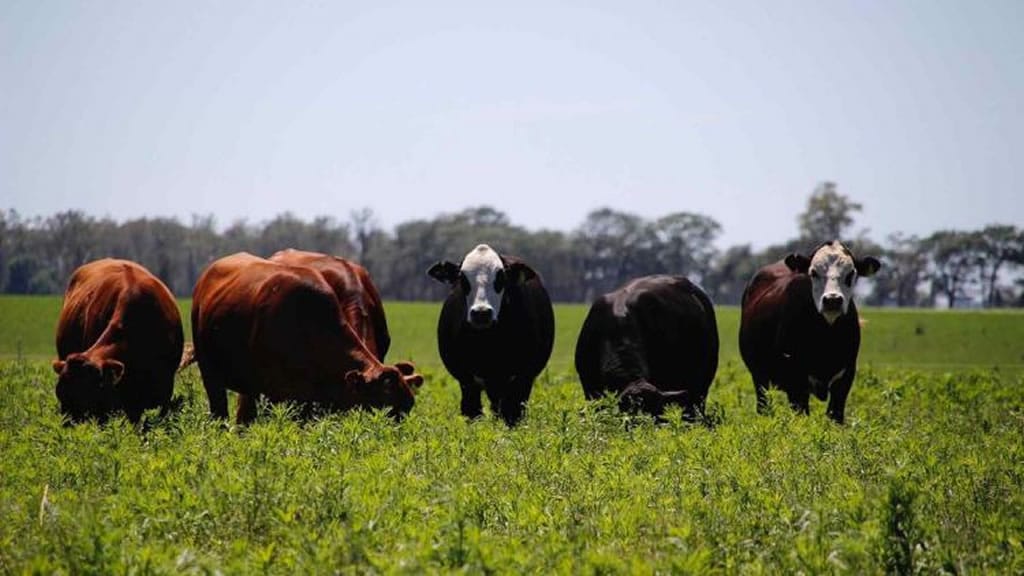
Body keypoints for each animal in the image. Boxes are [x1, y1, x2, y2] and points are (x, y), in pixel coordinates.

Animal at [428, 239, 557, 424]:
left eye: (501, 278)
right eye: (462, 279)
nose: (481, 313)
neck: (489, 346)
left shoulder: (523, 378)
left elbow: (513, 413)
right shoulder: (467, 382)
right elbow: (472, 412)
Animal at [741, 237, 884, 422]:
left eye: (851, 273)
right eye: (814, 272)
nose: (832, 300)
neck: (825, 336)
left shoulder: (845, 378)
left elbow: (835, 416)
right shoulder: (795, 381)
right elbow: (801, 414)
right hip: (760, 378)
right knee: (763, 406)